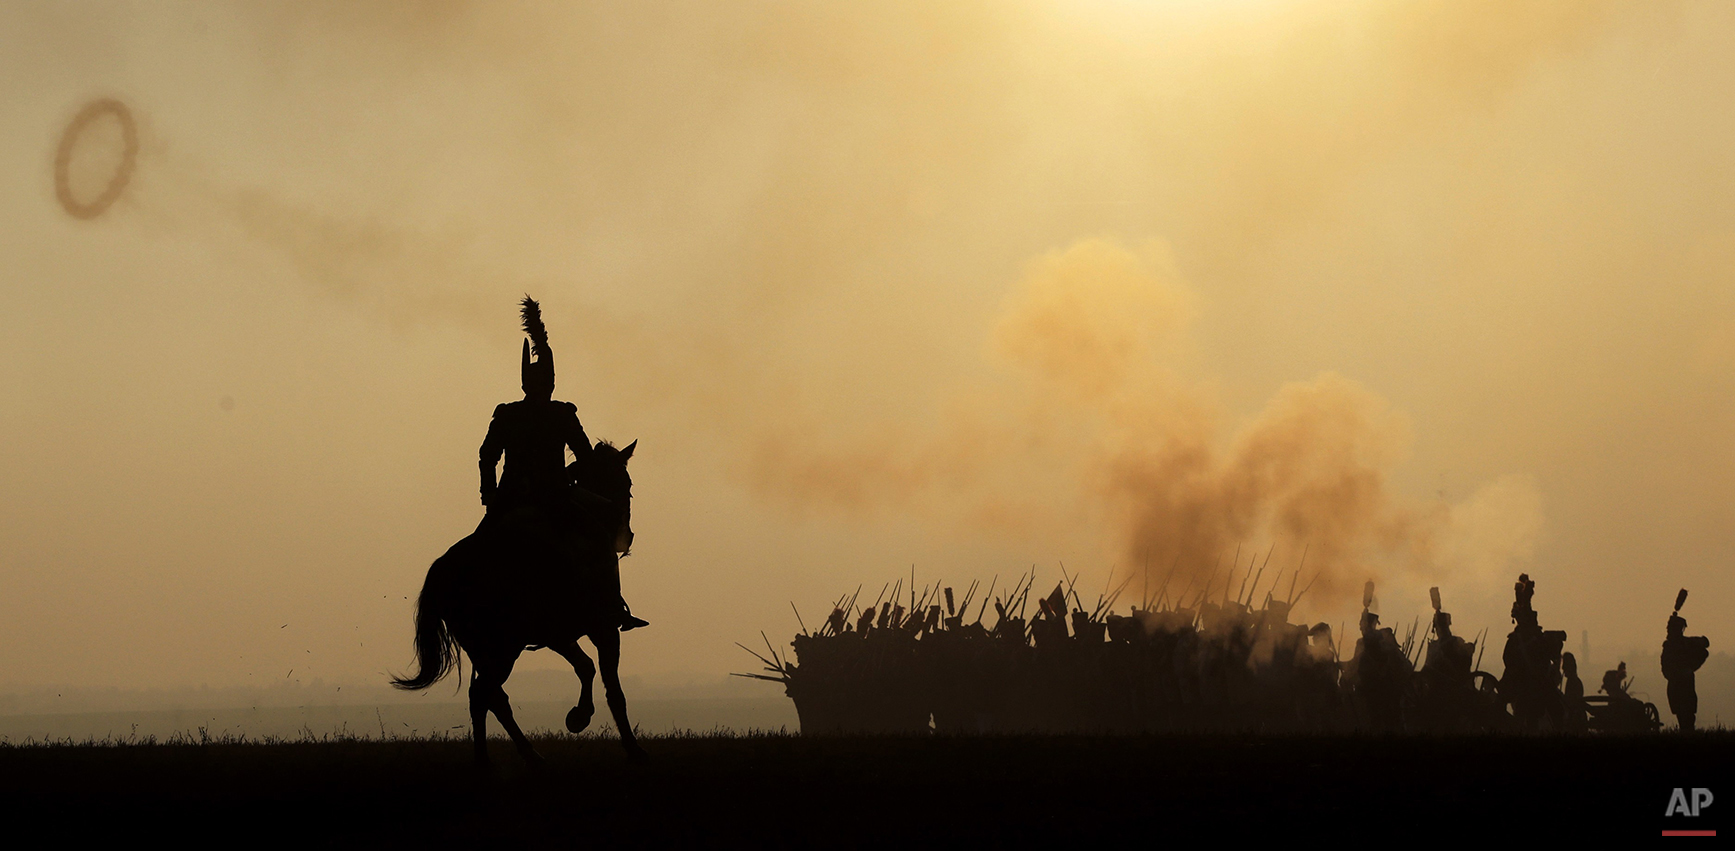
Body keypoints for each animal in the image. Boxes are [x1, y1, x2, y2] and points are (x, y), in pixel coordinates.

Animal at [390, 439, 648, 764]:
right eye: (627, 484)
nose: (627, 537)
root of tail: (447, 566)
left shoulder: (558, 636)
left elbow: (585, 666)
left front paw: (578, 716)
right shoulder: (604, 628)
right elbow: (613, 689)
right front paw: (633, 748)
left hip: (483, 648)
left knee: (489, 697)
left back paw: (513, 757)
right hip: (503, 648)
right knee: (485, 694)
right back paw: (504, 759)